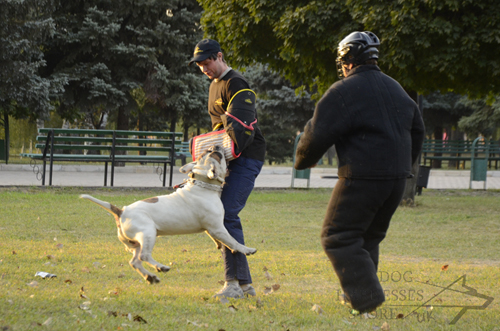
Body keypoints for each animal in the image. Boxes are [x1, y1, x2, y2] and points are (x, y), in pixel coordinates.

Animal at [81, 146, 258, 286]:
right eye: (216, 155)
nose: (216, 146)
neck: (202, 185)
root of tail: (122, 211)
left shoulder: (212, 229)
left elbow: (223, 241)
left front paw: (222, 246)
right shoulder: (217, 228)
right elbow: (233, 240)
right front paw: (246, 249)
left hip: (136, 242)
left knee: (135, 261)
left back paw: (151, 277)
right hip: (148, 233)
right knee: (144, 256)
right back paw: (161, 267)